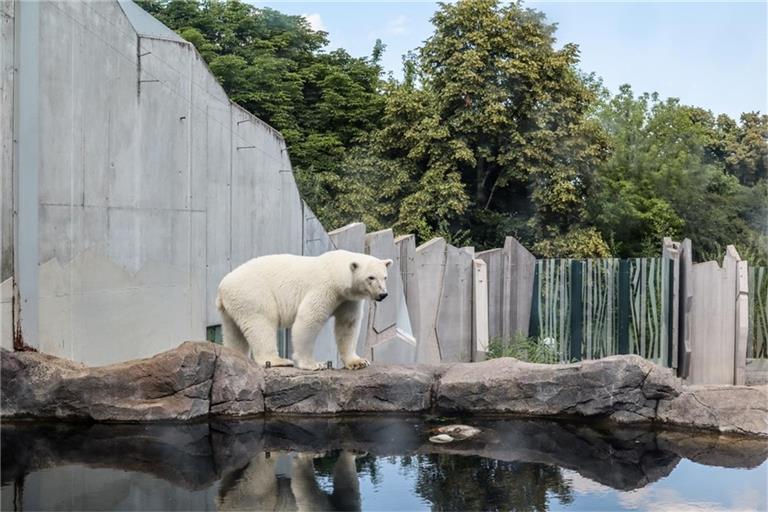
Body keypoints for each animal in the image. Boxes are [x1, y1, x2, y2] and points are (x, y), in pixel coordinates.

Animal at [214, 250, 390, 370]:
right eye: (371, 277)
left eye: (385, 277)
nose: (383, 294)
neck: (335, 271)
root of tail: (222, 286)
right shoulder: (324, 287)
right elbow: (309, 319)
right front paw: (314, 364)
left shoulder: (347, 299)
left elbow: (348, 324)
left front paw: (358, 362)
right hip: (252, 293)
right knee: (262, 323)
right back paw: (278, 360)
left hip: (233, 305)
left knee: (233, 333)